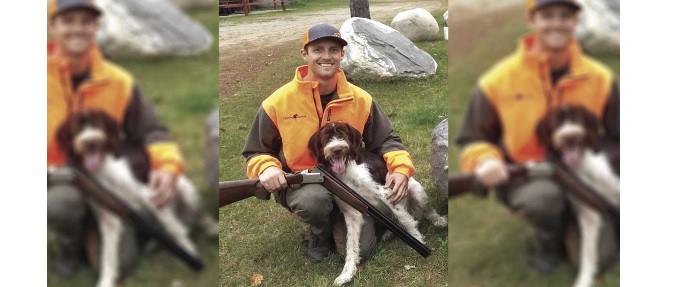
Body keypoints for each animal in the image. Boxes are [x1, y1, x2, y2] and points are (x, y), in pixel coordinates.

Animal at [57, 111, 219, 287]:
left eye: (97, 124)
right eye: (77, 129)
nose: (90, 142)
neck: (104, 168)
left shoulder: (151, 195)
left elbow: (174, 229)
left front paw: (192, 254)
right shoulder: (108, 217)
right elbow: (108, 255)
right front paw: (106, 280)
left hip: (187, 193)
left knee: (198, 216)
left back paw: (211, 228)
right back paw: (153, 245)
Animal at [308, 122, 446, 286]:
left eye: (344, 134)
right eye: (326, 137)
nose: (337, 149)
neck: (347, 171)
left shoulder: (386, 194)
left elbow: (407, 222)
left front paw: (419, 241)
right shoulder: (351, 212)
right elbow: (351, 245)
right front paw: (347, 273)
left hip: (417, 192)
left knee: (426, 213)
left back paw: (440, 221)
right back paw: (388, 233)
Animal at [536, 106, 620, 287]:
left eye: (578, 119)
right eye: (556, 122)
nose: (569, 137)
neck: (583, 166)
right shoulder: (588, 215)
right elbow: (587, 254)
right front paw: (584, 280)